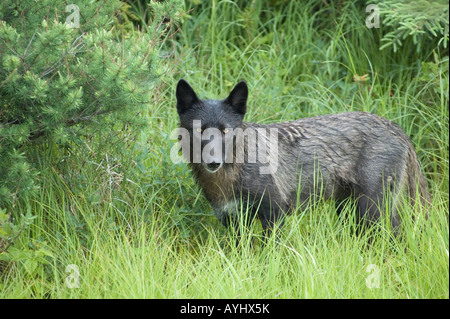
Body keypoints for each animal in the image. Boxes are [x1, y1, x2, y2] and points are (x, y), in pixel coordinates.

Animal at [175, 79, 428, 240]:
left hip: (373, 211)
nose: (213, 162)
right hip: (351, 210)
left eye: (225, 131)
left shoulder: (274, 215)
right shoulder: (233, 221)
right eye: (199, 130)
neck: (230, 176)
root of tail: (396, 127)